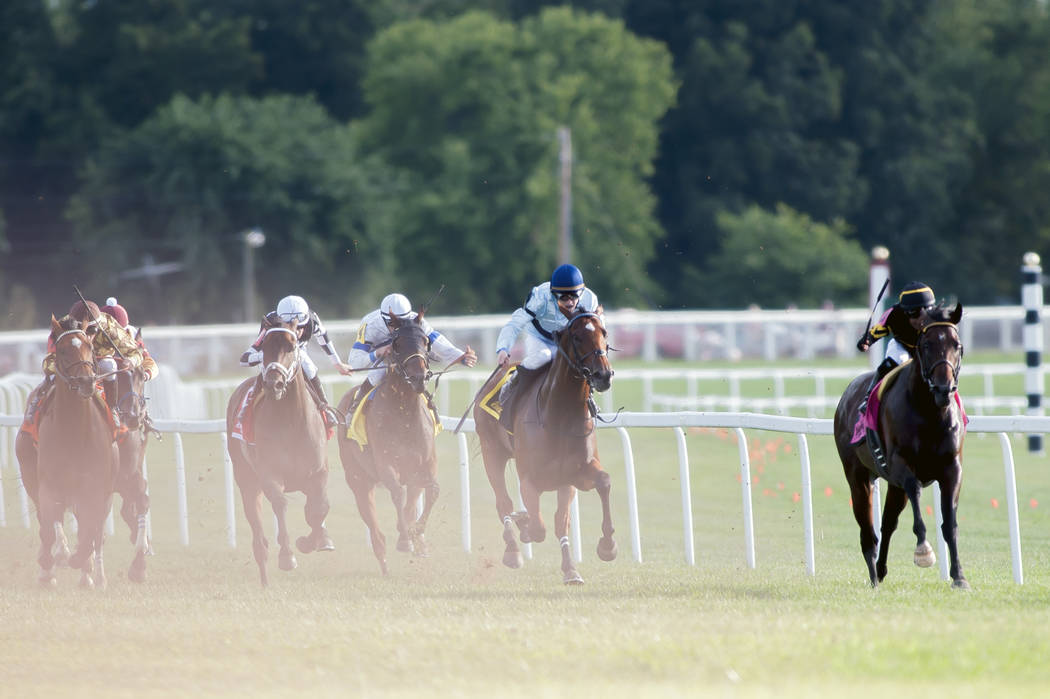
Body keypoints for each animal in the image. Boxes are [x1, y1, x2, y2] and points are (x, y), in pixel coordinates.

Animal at [16, 314, 118, 583]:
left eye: (90, 346)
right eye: (61, 350)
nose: (86, 381)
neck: (75, 432)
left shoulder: (95, 486)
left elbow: (90, 530)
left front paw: (83, 564)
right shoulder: (48, 484)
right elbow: (50, 526)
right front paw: (52, 562)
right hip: (32, 478)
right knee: (47, 523)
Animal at [225, 319, 331, 583]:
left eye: (292, 346)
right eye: (264, 347)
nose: (274, 383)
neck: (292, 422)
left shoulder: (318, 472)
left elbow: (318, 508)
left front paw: (314, 540)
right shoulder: (270, 475)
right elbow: (281, 505)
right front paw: (287, 555)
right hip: (246, 480)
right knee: (257, 530)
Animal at [338, 310, 440, 570]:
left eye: (425, 340)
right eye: (398, 343)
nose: (419, 376)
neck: (404, 416)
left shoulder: (424, 464)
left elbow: (431, 492)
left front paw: (416, 534)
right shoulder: (386, 464)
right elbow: (398, 494)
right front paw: (404, 539)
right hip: (357, 478)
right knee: (371, 518)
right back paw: (382, 555)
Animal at [474, 306, 613, 583]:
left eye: (604, 332)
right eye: (578, 337)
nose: (603, 375)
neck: (560, 415)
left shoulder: (573, 475)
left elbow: (597, 488)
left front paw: (602, 549)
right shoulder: (529, 478)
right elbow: (539, 527)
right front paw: (524, 525)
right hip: (491, 452)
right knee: (503, 503)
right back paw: (513, 550)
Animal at [831, 304, 970, 587]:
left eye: (957, 345)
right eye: (926, 345)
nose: (944, 388)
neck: (929, 412)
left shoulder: (952, 468)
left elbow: (949, 524)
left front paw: (959, 576)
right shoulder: (903, 467)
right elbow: (917, 503)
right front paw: (924, 552)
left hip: (893, 486)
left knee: (887, 523)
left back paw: (881, 569)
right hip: (857, 476)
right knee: (867, 530)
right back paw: (874, 576)